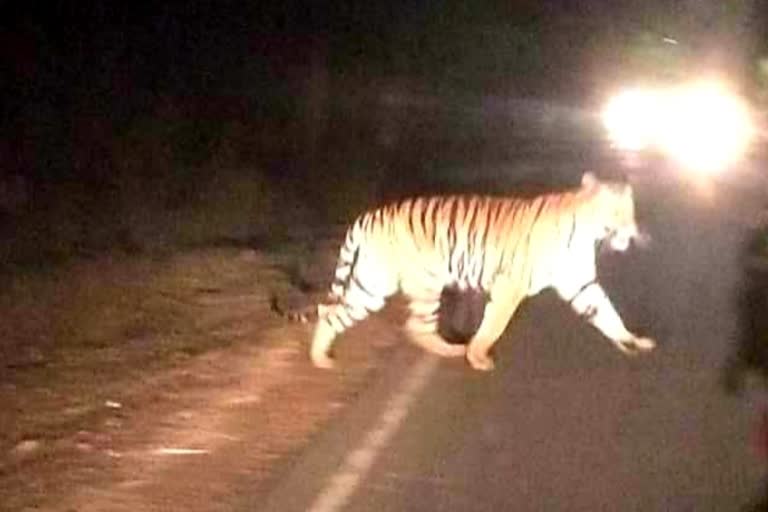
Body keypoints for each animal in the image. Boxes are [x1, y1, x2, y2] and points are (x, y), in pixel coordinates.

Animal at [272, 173, 656, 372]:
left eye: (631, 210)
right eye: (617, 212)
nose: (633, 232)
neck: (589, 234)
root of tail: (367, 215)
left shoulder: (581, 283)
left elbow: (607, 313)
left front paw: (632, 341)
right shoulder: (510, 286)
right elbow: (493, 325)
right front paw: (478, 356)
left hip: (372, 284)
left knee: (335, 313)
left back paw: (320, 357)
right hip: (416, 283)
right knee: (413, 326)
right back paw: (453, 351)